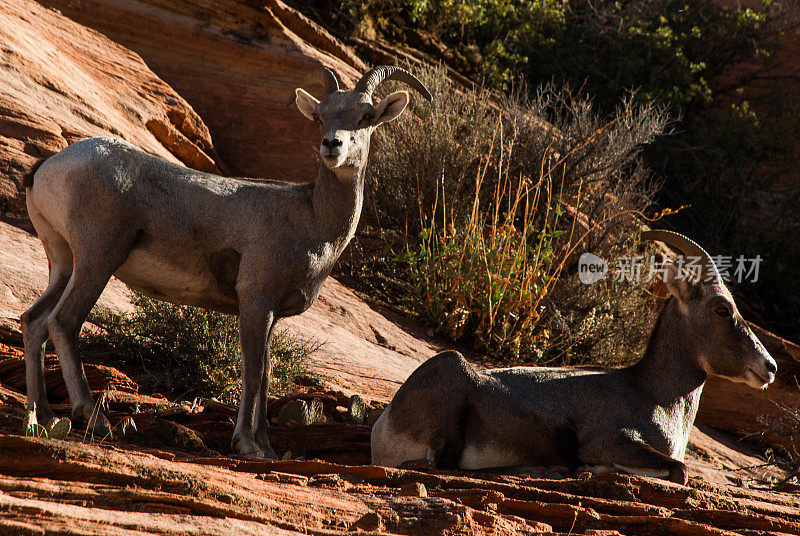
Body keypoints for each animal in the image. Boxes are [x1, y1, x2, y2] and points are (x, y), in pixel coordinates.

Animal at [20, 66, 432, 456]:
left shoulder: (270, 314)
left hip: (64, 264)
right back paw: (94, 418)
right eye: (320, 116)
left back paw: (44, 414)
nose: (332, 144)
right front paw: (247, 444)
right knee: (63, 323)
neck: (312, 220)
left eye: (366, 116)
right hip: (97, 261)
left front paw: (266, 448)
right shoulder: (255, 300)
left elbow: (265, 373)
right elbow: (252, 371)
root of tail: (49, 167)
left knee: (34, 321)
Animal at [372, 231, 780, 486]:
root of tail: (383, 429)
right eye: (721, 308)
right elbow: (679, 471)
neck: (659, 400)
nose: (769, 368)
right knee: (440, 466)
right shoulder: (609, 439)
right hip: (452, 376)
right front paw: (591, 469)